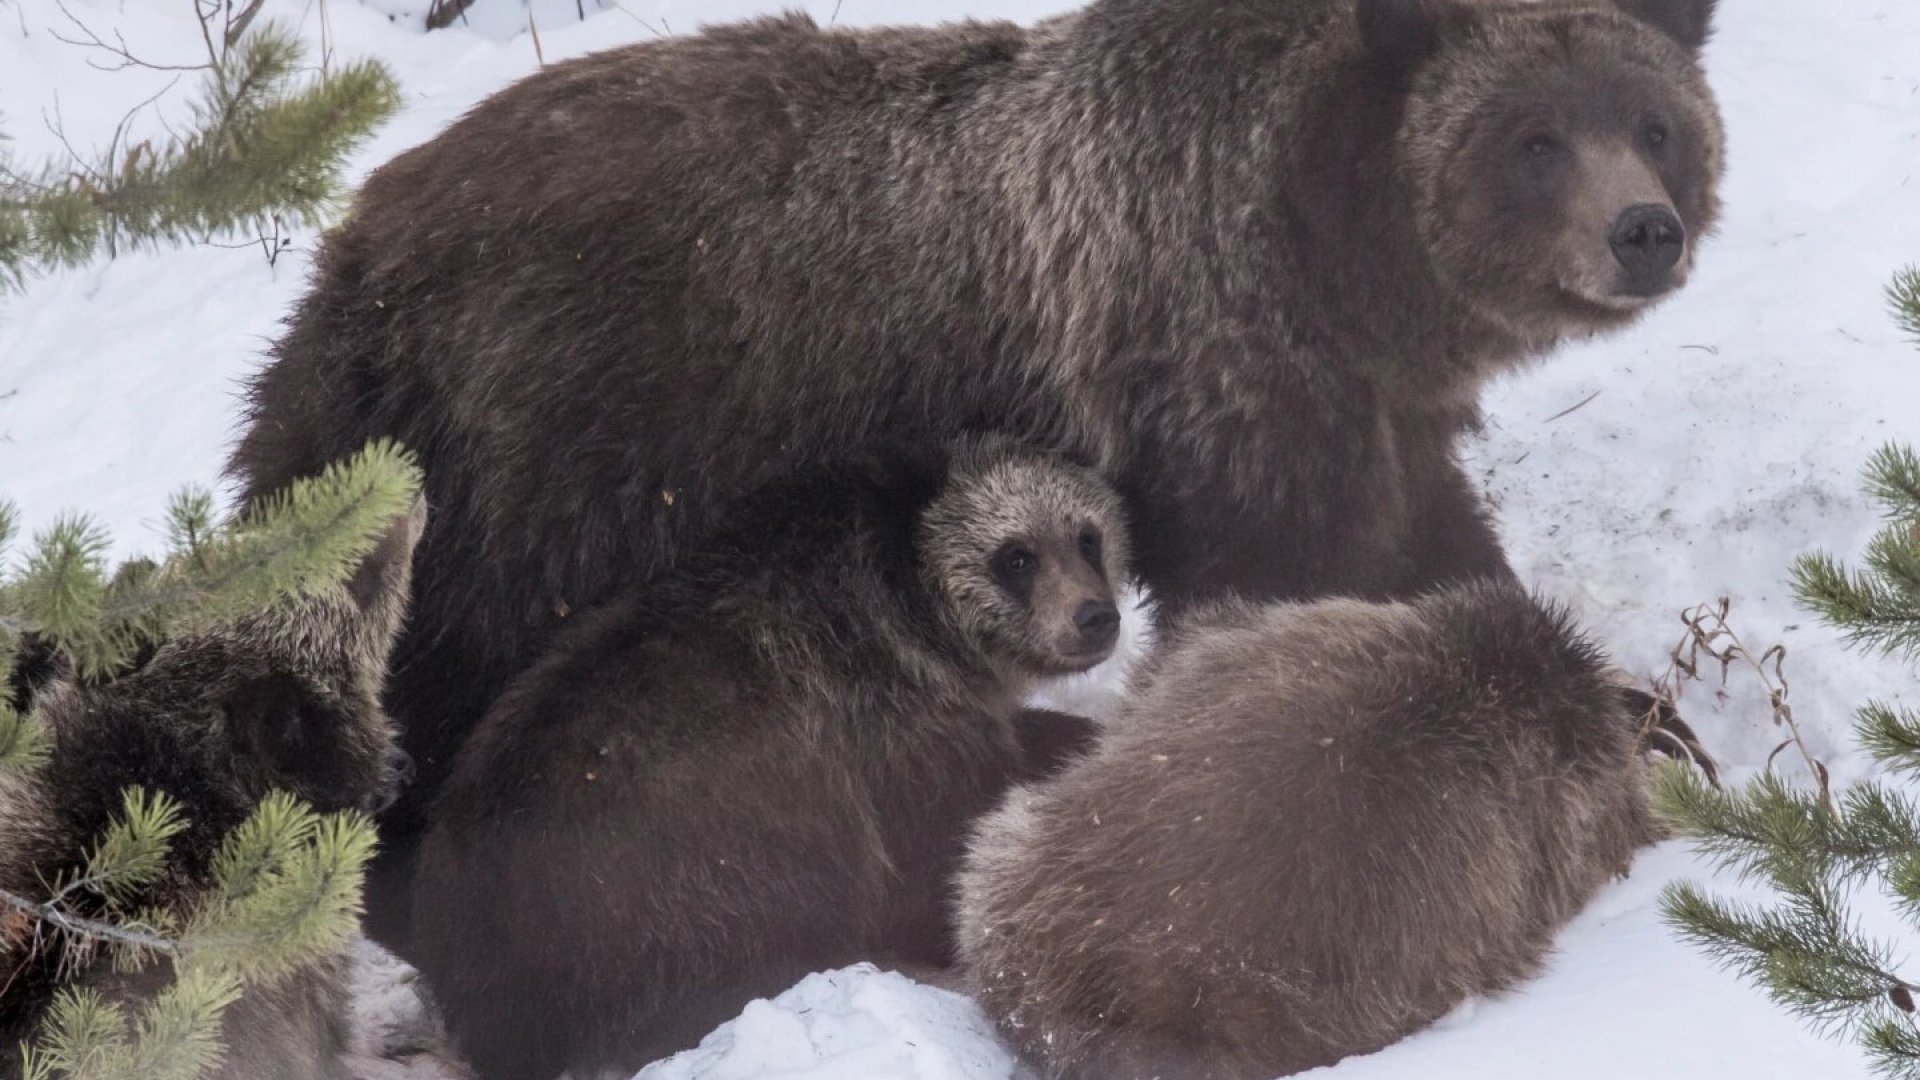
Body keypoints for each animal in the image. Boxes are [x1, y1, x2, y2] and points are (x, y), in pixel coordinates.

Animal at [229, 0, 1725, 946]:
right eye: (1534, 139)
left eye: (1654, 121)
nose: (1642, 231)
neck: (1332, 250)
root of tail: (355, 247)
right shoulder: (1219, 363)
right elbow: (1297, 585)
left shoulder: (1364, 406)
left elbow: (1433, 551)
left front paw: (1645, 714)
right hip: (560, 448)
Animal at [407, 439, 1130, 1080]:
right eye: (1016, 556)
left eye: (1087, 536)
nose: (1095, 616)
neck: (923, 620)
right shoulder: (886, 731)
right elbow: (940, 852)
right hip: (680, 861)